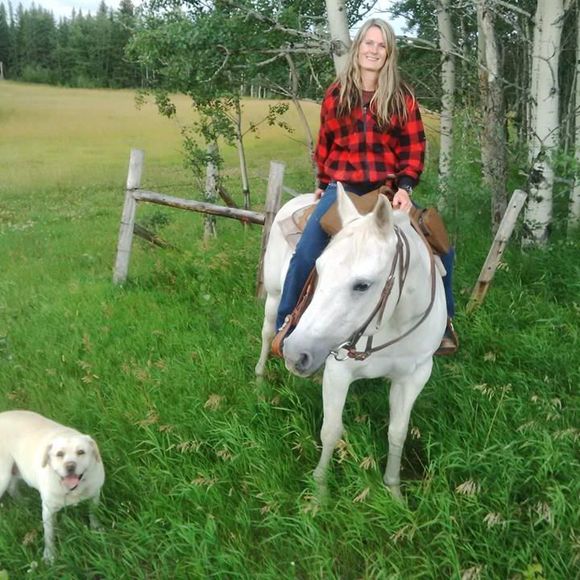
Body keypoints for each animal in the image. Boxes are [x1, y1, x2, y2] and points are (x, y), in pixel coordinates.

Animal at [0, 410, 105, 562]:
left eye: (81, 452)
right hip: (3, 476)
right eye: (59, 454)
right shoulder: (48, 509)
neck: (72, 490)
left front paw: (96, 528)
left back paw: (23, 503)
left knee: (12, 487)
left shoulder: (95, 495)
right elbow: (48, 535)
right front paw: (49, 555)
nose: (70, 466)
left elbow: (94, 513)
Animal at [255, 183, 447, 498]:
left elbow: (397, 433)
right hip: (272, 298)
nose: (295, 354)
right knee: (268, 332)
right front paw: (319, 492)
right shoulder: (338, 371)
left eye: (362, 285)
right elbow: (331, 430)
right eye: (318, 269)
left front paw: (394, 491)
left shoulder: (415, 376)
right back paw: (260, 378)